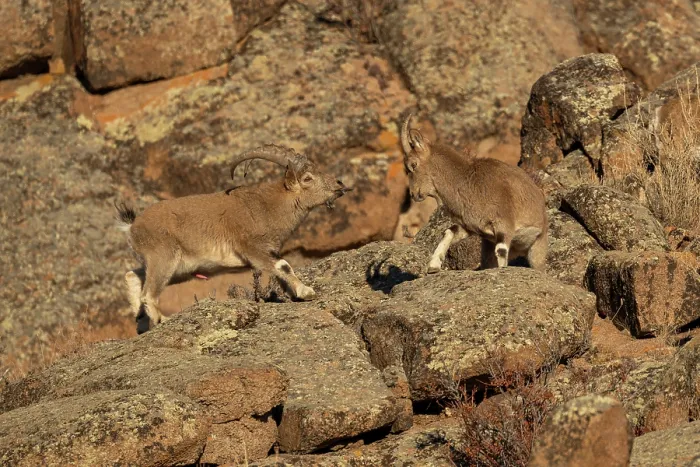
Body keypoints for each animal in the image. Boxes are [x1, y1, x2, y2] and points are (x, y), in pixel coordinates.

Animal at [116, 144, 351, 333]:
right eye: (307, 178)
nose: (340, 185)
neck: (268, 207)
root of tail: (133, 226)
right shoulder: (254, 248)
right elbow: (283, 266)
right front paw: (306, 291)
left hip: (175, 268)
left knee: (133, 276)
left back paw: (141, 322)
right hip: (164, 258)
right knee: (149, 293)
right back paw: (161, 320)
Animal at [400, 114, 548, 273]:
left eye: (413, 165)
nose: (413, 194)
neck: (468, 182)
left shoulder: (505, 224)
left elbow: (501, 251)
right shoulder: (471, 226)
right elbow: (449, 231)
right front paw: (433, 265)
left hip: (537, 246)